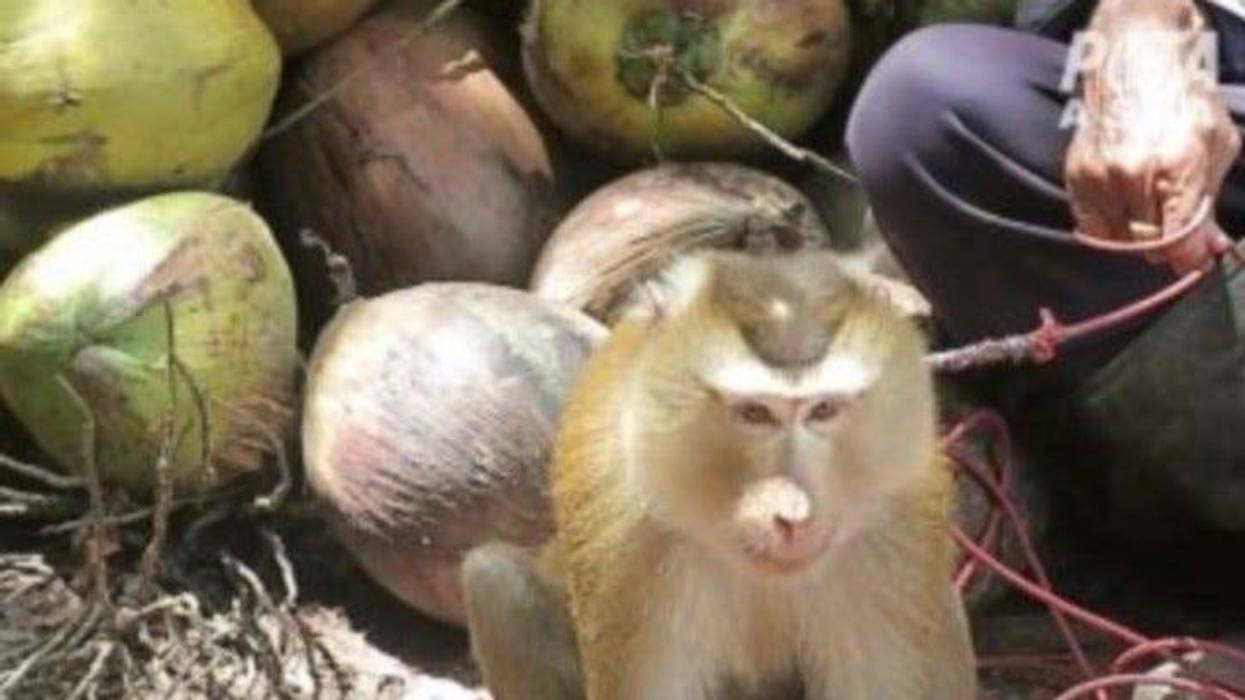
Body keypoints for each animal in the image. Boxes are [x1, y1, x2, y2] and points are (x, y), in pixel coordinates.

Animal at [462, 250, 976, 700]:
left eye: (823, 410)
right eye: (754, 414)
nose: (793, 514)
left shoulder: (896, 528)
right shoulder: (630, 542)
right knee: (494, 581)